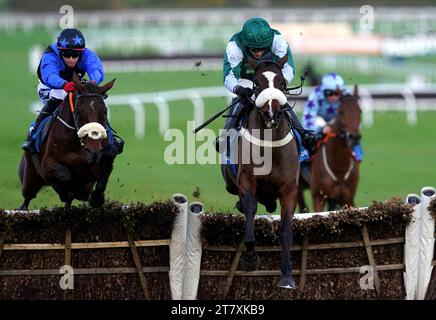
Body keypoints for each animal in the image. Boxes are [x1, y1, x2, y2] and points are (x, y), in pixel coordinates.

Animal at [19, 74, 119, 210]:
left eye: (104, 111)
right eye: (78, 112)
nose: (93, 149)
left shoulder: (102, 161)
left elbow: (104, 173)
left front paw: (97, 198)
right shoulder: (46, 165)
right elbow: (65, 174)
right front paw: (64, 191)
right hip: (30, 179)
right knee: (27, 199)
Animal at [221, 55, 300, 290]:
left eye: (281, 82)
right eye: (256, 83)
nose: (272, 114)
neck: (270, 146)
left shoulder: (289, 188)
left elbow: (286, 230)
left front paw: (287, 276)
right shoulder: (246, 180)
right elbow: (250, 209)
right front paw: (250, 258)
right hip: (230, 183)